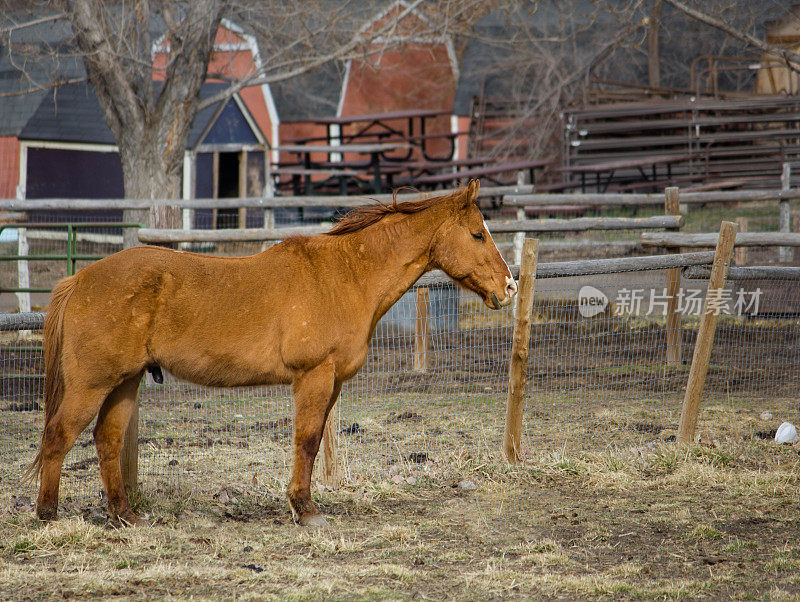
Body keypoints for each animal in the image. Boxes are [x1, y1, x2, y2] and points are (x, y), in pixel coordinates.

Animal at [28, 179, 516, 524]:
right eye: (477, 234)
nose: (508, 288)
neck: (346, 273)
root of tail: (79, 280)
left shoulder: (332, 383)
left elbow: (313, 445)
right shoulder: (313, 376)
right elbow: (307, 440)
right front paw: (306, 510)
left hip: (124, 382)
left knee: (106, 441)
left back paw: (125, 516)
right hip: (93, 384)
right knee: (58, 436)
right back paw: (48, 515)